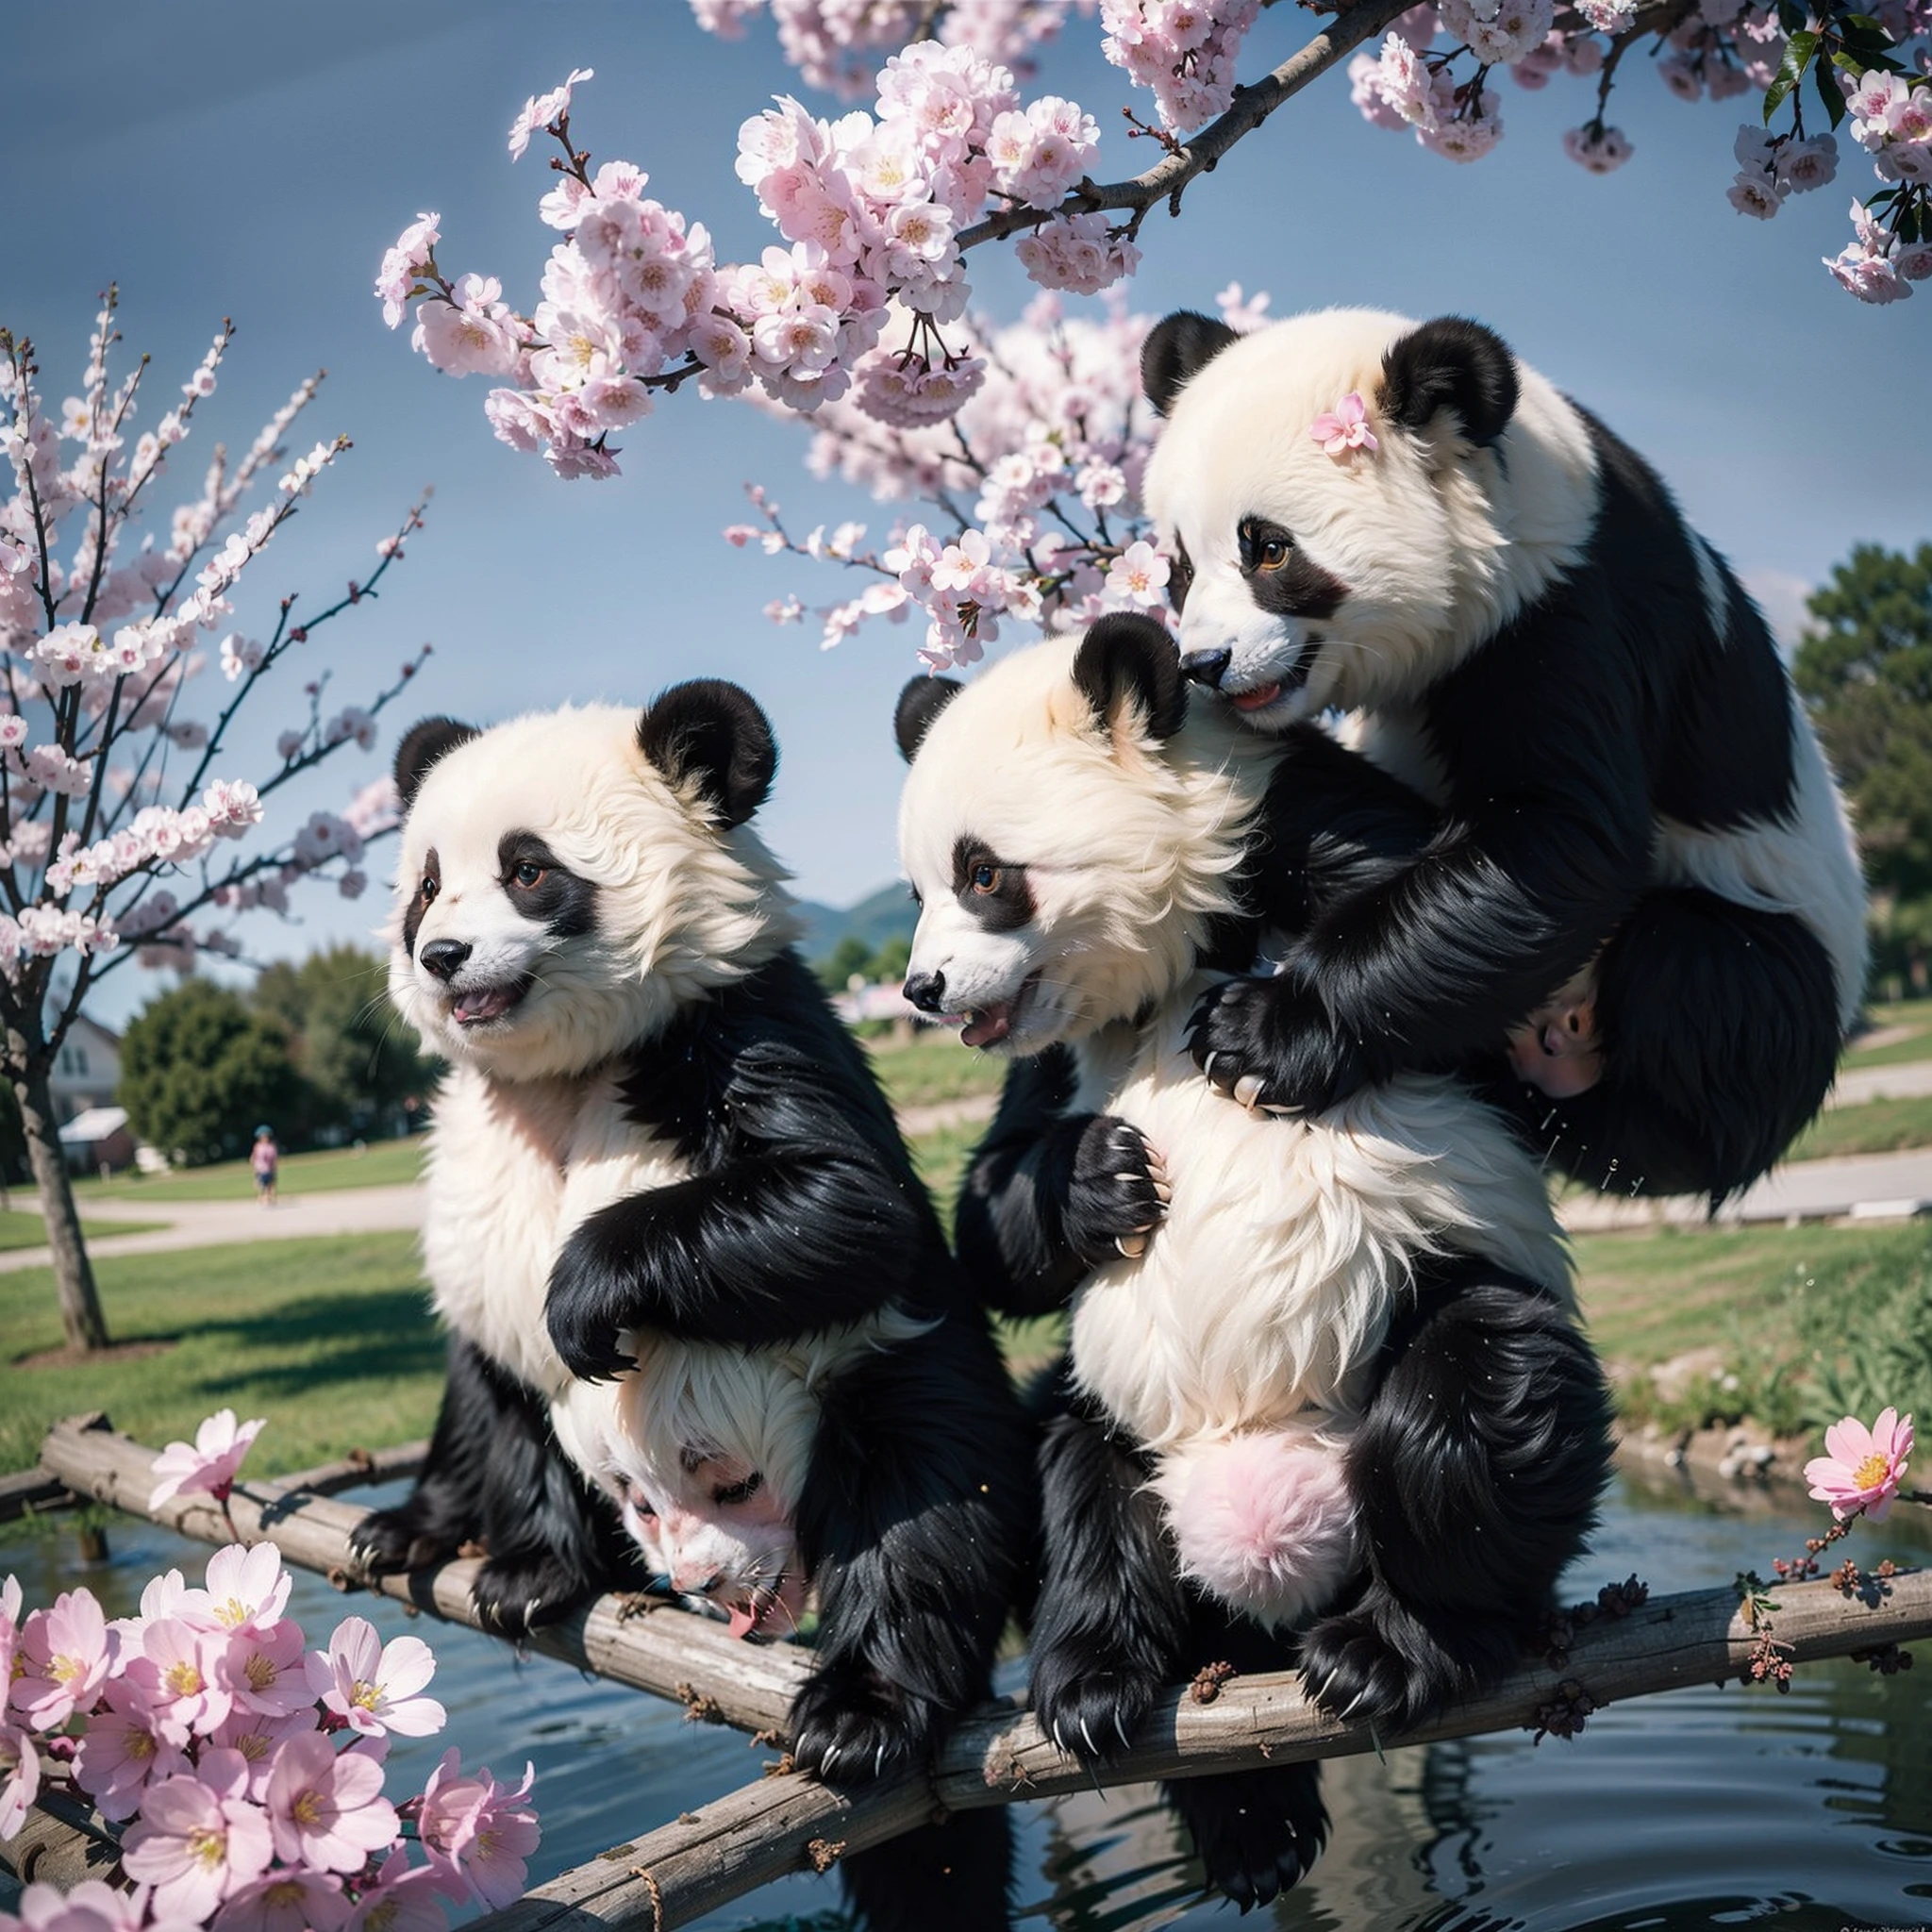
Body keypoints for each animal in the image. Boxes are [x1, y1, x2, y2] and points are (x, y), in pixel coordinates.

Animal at [347, 688, 1042, 1924]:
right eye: (426, 882)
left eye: (529, 870)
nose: (440, 955)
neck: (561, 1073)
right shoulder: (476, 1160)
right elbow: (489, 1358)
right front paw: (524, 1566)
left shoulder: (740, 1028)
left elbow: (842, 1207)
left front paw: (583, 1298)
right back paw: (423, 1523)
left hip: (888, 1374)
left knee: (928, 1494)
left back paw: (857, 1710)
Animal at [889, 614, 1615, 1901]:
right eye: (917, 883)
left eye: (982, 872)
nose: (924, 988)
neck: (1168, 959)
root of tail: (1265, 1563)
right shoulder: (1059, 1055)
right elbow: (990, 1207)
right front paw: (1101, 1177)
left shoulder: (1294, 829)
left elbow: (1486, 937)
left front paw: (1264, 1032)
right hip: (1121, 1412)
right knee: (1068, 1481)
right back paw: (1126, 1710)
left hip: (1409, 1319)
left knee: (1476, 1403)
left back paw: (1391, 1649)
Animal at [1136, 307, 1862, 1197]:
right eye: (1178, 567)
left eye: (1269, 549)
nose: (1205, 664)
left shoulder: (1566, 609)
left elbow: (1559, 835)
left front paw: (1255, 1038)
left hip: (1785, 954)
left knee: (1696, 974)